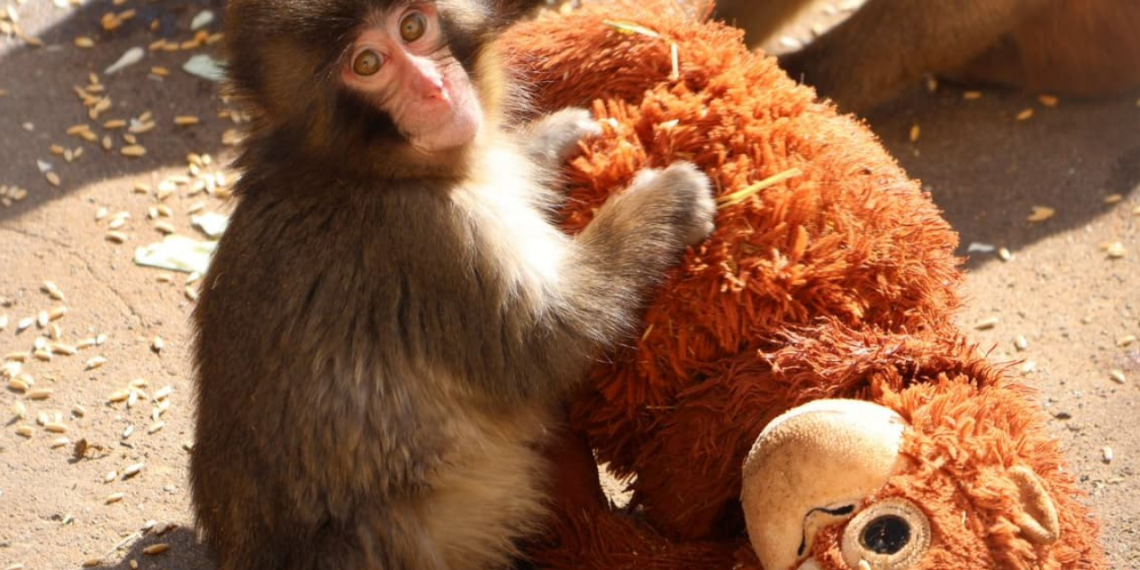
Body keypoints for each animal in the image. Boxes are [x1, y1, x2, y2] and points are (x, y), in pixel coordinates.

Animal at [188, 1, 717, 569]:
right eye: (368, 64)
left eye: (412, 27)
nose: (434, 88)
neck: (355, 171)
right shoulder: (427, 238)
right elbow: (545, 342)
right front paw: (667, 201)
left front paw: (552, 138)